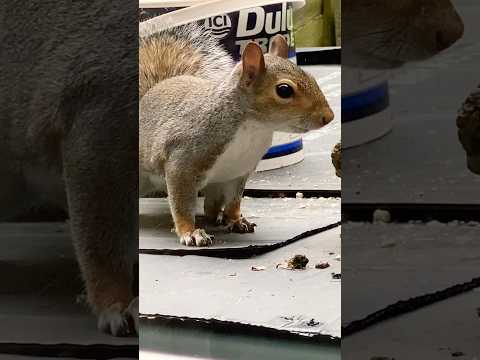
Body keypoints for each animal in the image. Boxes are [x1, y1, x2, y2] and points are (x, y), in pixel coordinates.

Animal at [139, 23, 334, 246]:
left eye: (311, 77)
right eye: (284, 90)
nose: (329, 117)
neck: (254, 129)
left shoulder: (238, 172)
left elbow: (234, 202)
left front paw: (237, 220)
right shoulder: (182, 163)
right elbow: (182, 206)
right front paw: (190, 232)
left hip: (216, 185)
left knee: (211, 207)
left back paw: (217, 217)